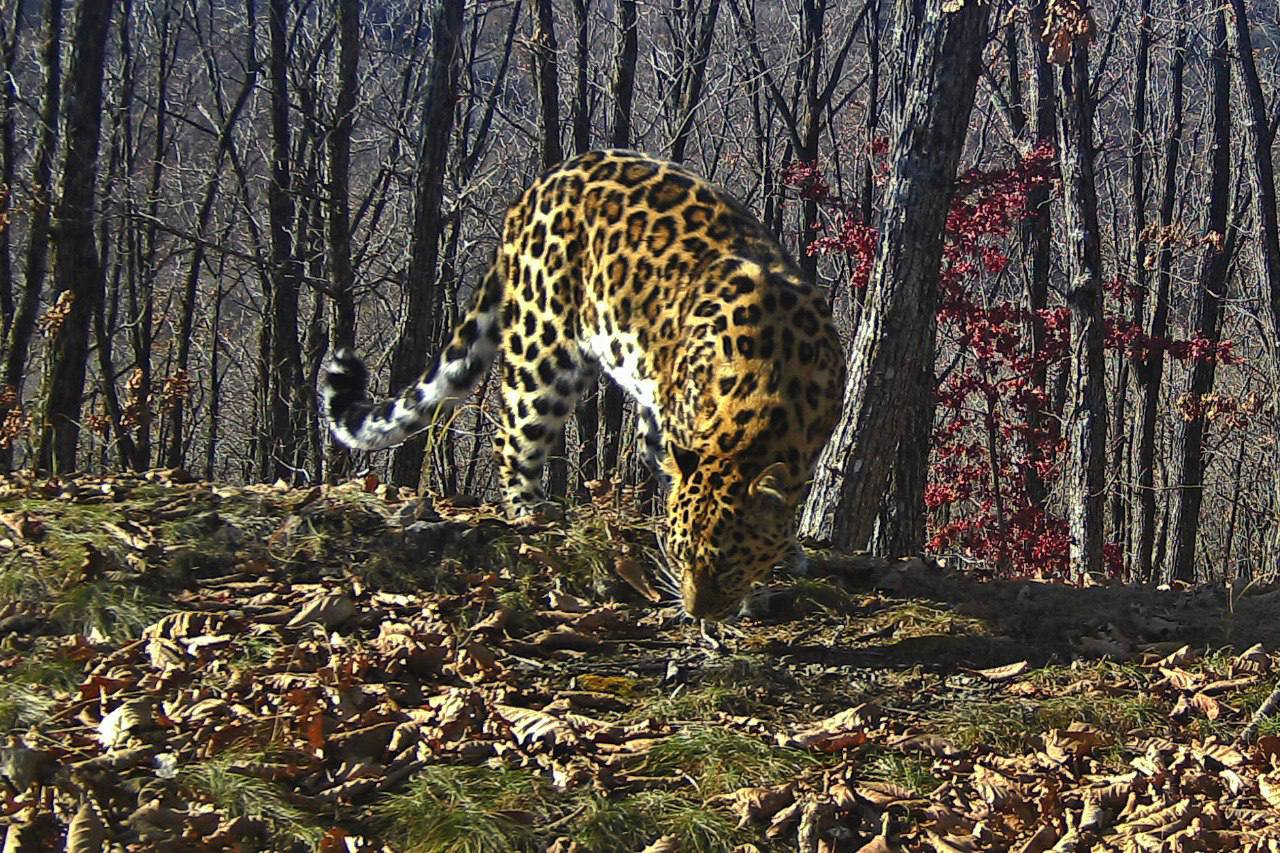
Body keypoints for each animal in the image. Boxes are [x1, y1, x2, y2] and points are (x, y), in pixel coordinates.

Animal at [320, 149, 844, 617]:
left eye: (731, 562)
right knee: (512, 436)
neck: (768, 391)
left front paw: (786, 552)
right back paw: (531, 511)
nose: (697, 612)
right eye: (680, 553)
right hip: (544, 344)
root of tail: (538, 185)